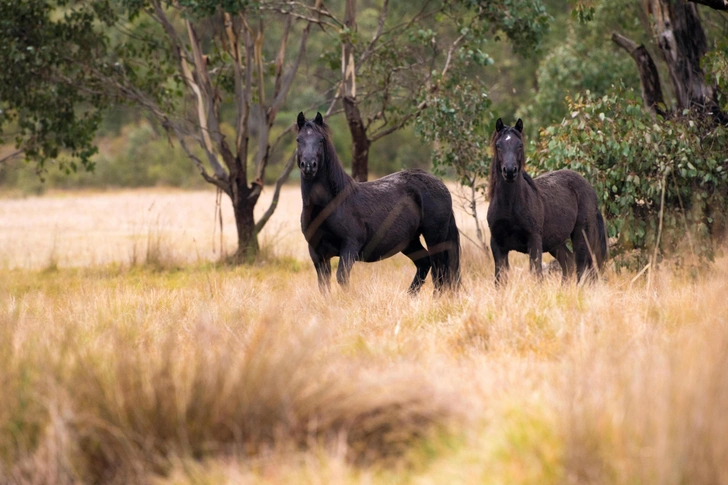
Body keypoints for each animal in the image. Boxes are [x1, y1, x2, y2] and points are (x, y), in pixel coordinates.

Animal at [294, 111, 456, 294]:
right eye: (298, 139)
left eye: (321, 139)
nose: (308, 166)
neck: (330, 205)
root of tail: (441, 185)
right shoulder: (317, 253)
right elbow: (323, 285)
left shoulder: (350, 246)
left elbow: (342, 277)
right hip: (409, 241)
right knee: (425, 264)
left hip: (435, 237)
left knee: (440, 271)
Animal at [490, 117, 608, 284]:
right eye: (498, 145)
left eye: (520, 145)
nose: (510, 171)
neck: (509, 206)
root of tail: (591, 190)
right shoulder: (497, 245)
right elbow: (500, 280)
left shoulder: (534, 241)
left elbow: (537, 274)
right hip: (555, 243)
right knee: (569, 263)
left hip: (582, 236)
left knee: (584, 268)